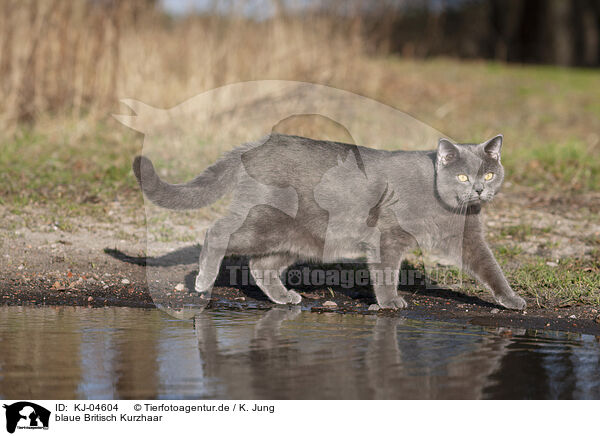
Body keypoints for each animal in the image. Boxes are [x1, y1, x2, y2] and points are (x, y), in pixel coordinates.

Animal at [135, 133, 524, 310]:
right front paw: (389, 303)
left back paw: (284, 297)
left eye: (489, 175)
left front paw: (510, 300)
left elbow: (490, 267)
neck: (445, 204)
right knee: (217, 231)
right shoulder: (388, 236)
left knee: (261, 265)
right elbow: (386, 271)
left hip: (298, 237)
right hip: (266, 221)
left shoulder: (468, 238)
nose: (478, 190)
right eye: (462, 177)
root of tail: (255, 147)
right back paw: (202, 281)